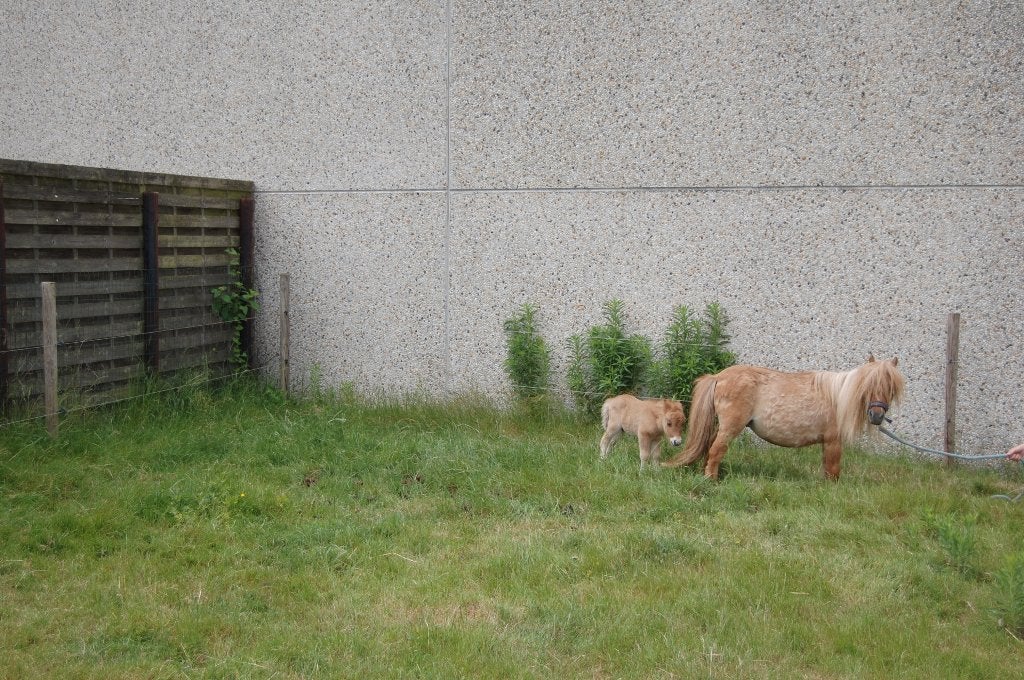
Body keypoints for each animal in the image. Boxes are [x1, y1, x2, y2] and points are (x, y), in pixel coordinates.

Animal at [661, 355, 904, 480]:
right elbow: (833, 469)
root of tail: (719, 376)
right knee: (716, 450)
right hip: (731, 427)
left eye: (891, 387)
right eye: (868, 385)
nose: (876, 416)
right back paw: (711, 480)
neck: (838, 397)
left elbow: (827, 467)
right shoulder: (833, 441)